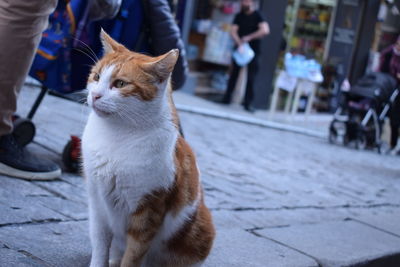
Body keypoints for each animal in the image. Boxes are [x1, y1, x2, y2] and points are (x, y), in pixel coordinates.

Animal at [81, 29, 216, 267]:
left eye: (120, 84)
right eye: (96, 77)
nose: (95, 95)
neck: (116, 134)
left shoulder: (148, 211)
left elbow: (133, 256)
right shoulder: (97, 203)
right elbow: (99, 244)